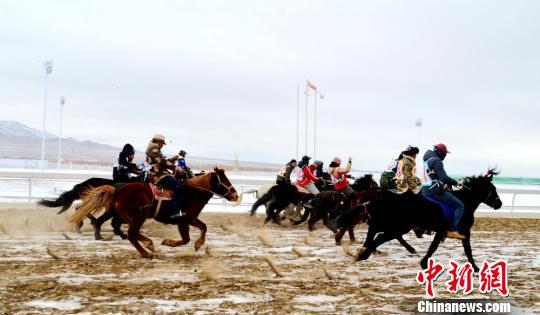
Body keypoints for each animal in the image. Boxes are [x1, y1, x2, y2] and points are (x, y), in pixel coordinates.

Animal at [68, 169, 237, 258]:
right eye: (224, 181)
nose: (235, 195)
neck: (191, 193)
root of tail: (117, 189)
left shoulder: (188, 219)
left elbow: (200, 229)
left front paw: (195, 244)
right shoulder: (185, 219)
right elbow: (188, 237)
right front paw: (175, 243)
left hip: (126, 216)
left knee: (123, 229)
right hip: (138, 216)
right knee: (131, 234)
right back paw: (147, 250)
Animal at [356, 169, 504, 272]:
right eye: (491, 189)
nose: (499, 204)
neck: (464, 202)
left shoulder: (458, 232)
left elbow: (464, 250)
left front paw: (475, 267)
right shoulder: (452, 231)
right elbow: (437, 247)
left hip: (399, 226)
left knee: (379, 236)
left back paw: (363, 254)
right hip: (399, 226)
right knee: (380, 236)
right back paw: (363, 254)